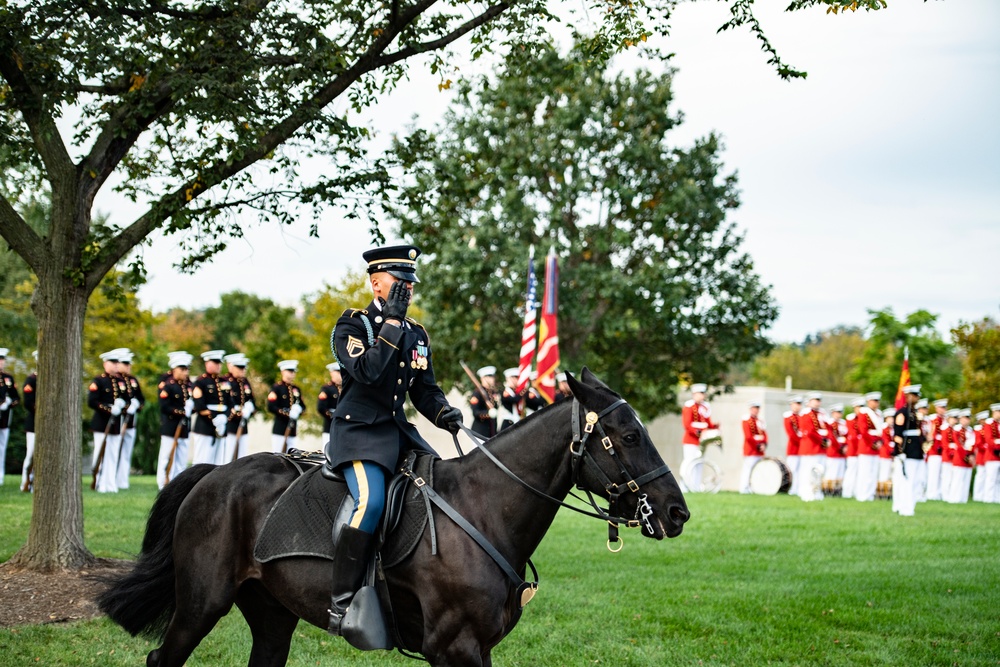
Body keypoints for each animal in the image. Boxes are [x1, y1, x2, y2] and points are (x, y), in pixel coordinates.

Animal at [99, 370, 688, 667]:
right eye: (628, 435)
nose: (677, 512)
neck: (483, 510)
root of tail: (214, 475)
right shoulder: (456, 649)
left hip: (272, 615)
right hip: (201, 605)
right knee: (161, 660)